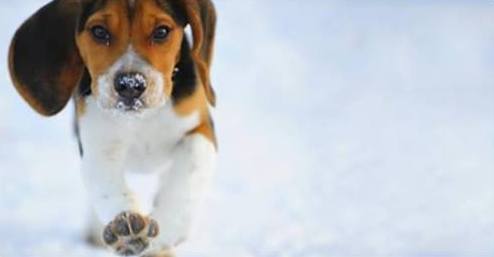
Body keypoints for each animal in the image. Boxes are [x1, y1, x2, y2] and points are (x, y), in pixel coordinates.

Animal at [7, 1, 216, 255]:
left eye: (162, 32)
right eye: (99, 32)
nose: (131, 85)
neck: (140, 119)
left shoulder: (200, 126)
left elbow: (191, 167)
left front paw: (168, 227)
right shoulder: (97, 144)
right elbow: (106, 183)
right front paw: (127, 230)